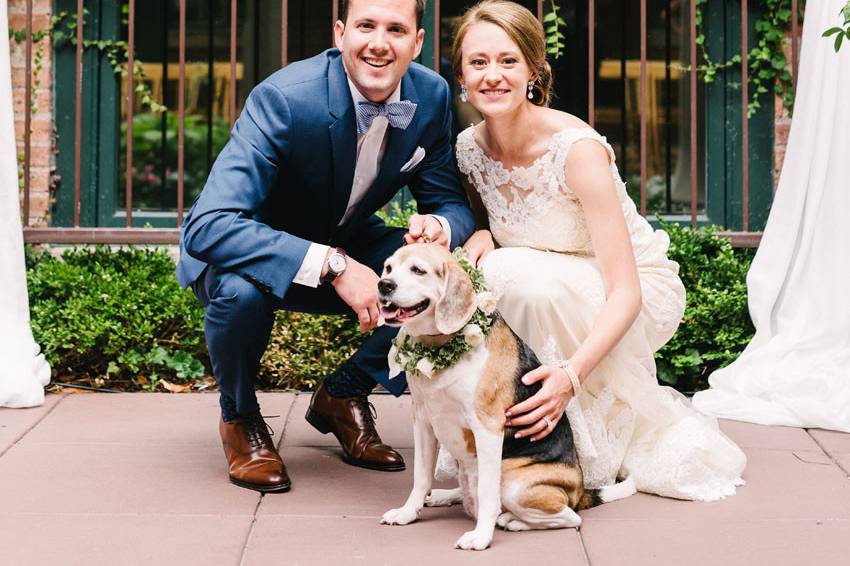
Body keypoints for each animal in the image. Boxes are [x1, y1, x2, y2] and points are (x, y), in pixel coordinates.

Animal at [376, 245, 628, 556]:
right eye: (388, 268)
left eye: (418, 270)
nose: (384, 285)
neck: (440, 346)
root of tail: (580, 492)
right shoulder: (422, 420)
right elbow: (420, 477)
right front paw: (408, 512)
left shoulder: (486, 427)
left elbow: (487, 494)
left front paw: (481, 537)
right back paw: (447, 496)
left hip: (514, 484)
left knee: (569, 517)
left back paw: (513, 520)